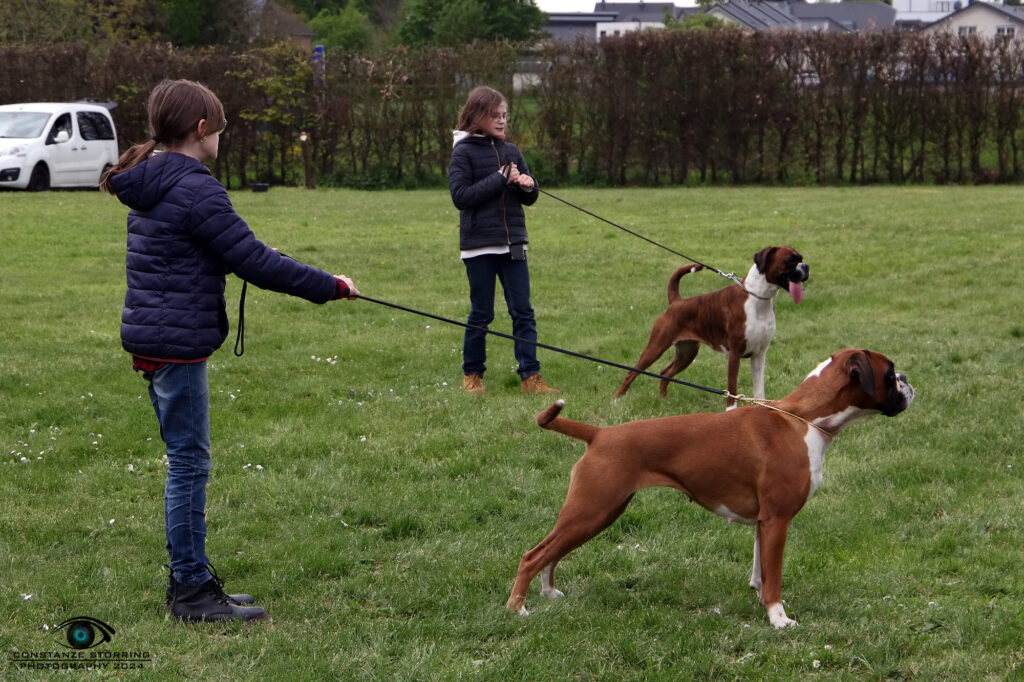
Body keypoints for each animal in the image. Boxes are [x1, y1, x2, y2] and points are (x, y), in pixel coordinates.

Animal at [507, 350, 917, 626]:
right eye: (890, 372)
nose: (908, 381)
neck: (803, 419)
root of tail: (600, 434)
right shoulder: (778, 520)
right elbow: (775, 576)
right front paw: (778, 619)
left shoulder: (764, 522)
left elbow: (760, 570)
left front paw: (760, 599)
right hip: (592, 510)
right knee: (533, 555)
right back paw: (518, 608)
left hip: (597, 513)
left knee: (551, 552)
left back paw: (548, 592)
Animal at [610, 244, 811, 403]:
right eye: (790, 260)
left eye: (801, 258)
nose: (807, 266)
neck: (757, 299)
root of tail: (676, 301)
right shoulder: (735, 354)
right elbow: (732, 391)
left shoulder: (759, 355)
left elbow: (759, 391)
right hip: (656, 346)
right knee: (632, 372)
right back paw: (616, 400)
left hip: (686, 353)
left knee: (664, 373)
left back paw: (663, 400)